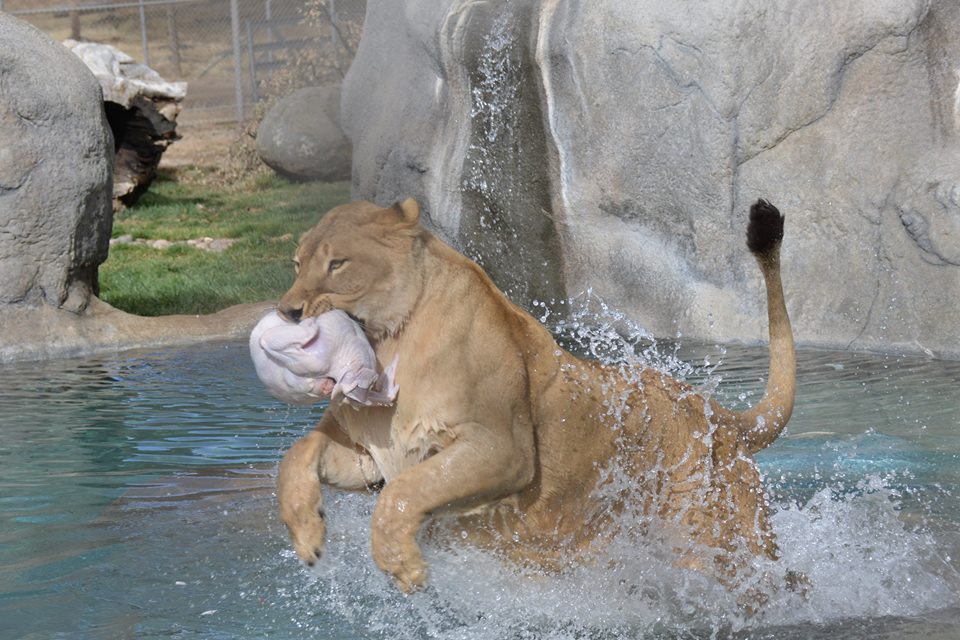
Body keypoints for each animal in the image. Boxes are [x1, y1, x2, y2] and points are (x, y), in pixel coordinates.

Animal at [274, 197, 796, 594]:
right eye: (297, 265)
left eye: (337, 264)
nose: (287, 313)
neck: (386, 348)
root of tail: (718, 414)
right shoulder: (370, 455)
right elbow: (297, 455)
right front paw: (306, 533)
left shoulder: (503, 450)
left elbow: (407, 493)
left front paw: (403, 565)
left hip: (714, 541)